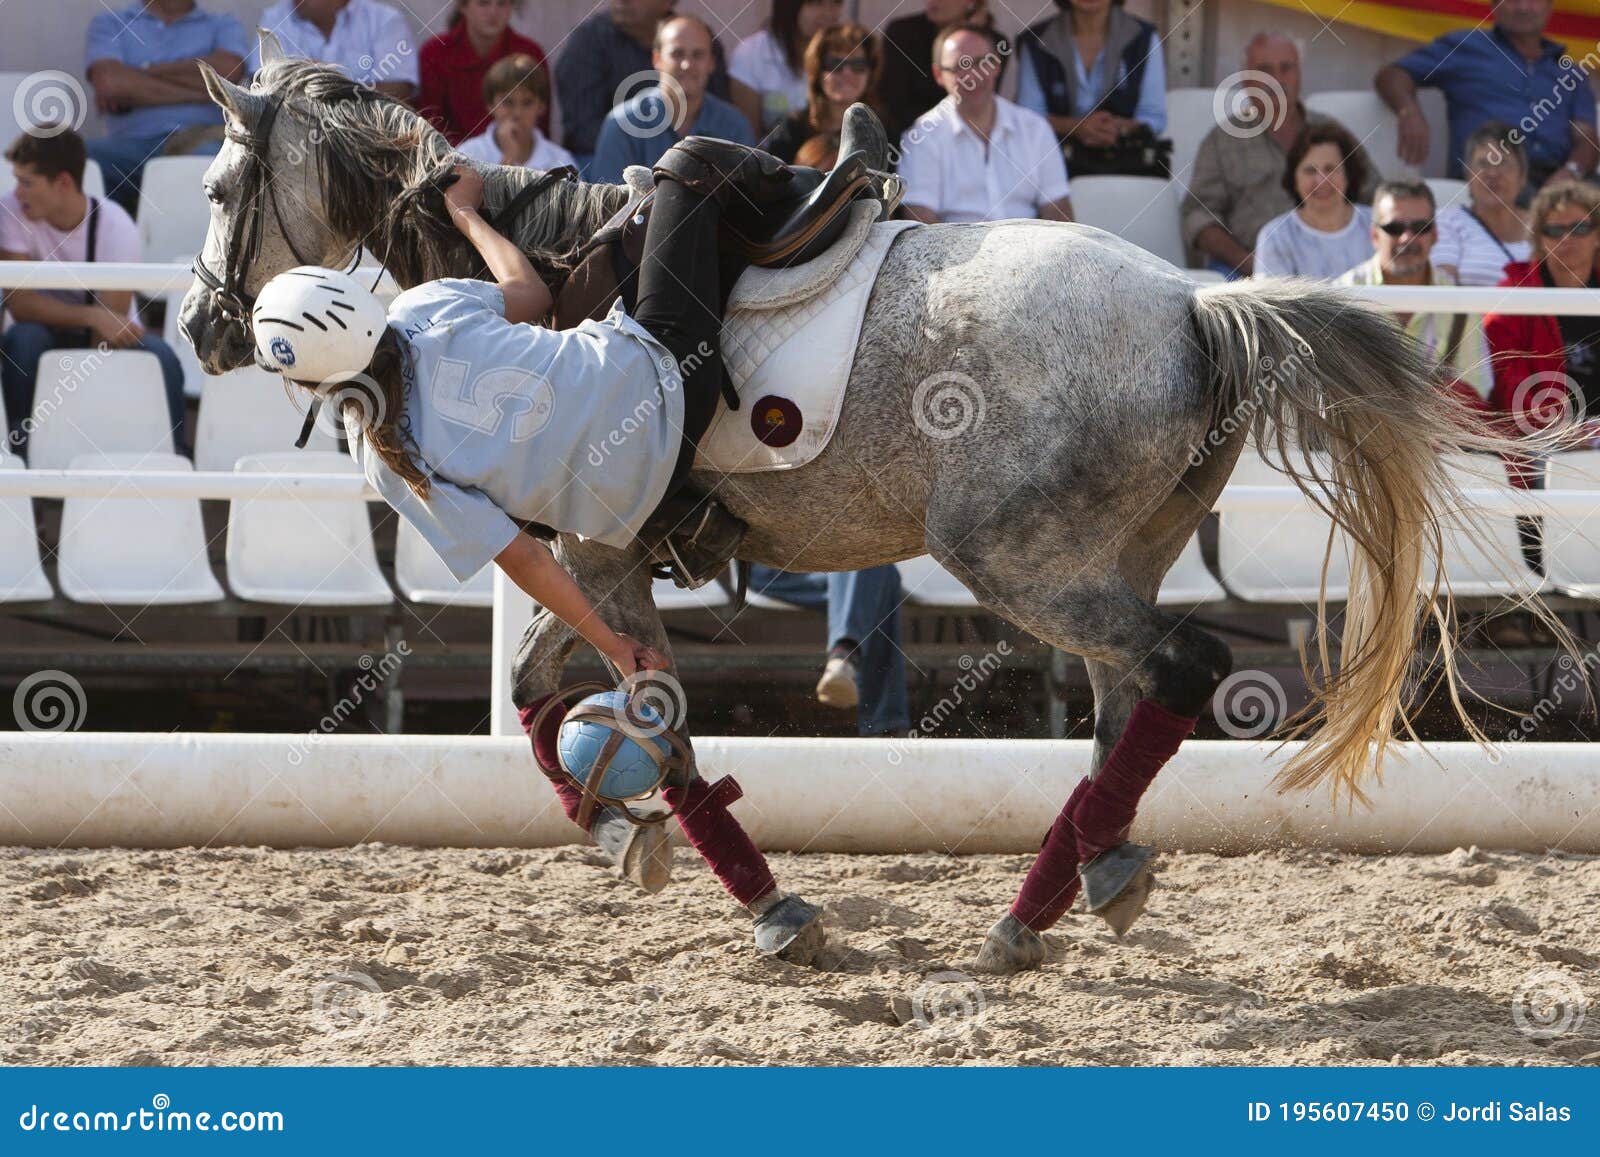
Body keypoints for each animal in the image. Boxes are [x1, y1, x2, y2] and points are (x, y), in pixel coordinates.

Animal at [175, 52, 1536, 966]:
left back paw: (1037, 901)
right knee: (1127, 693)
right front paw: (617, 825)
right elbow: (544, 694)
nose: (197, 324)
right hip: (1111, 556)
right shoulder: (592, 562)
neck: (550, 278)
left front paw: (759, 898)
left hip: (1012, 560)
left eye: (221, 186)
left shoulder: (604, 557)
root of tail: (1195, 305)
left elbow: (642, 713)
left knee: (1178, 665)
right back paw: (1088, 871)